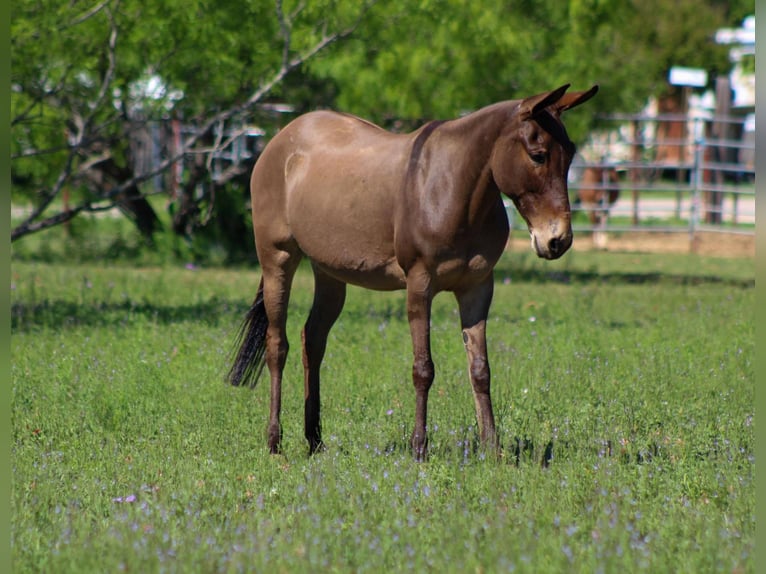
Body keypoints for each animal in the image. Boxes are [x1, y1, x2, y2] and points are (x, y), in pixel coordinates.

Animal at [228, 84, 599, 460]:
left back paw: (314, 440)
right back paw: (274, 441)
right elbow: (423, 369)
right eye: (538, 155)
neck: (454, 188)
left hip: (330, 274)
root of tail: (281, 141)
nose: (558, 240)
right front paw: (419, 448)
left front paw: (491, 449)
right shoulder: (420, 286)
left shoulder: (477, 288)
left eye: (570, 154)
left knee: (313, 341)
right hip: (278, 261)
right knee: (277, 346)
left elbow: (480, 370)